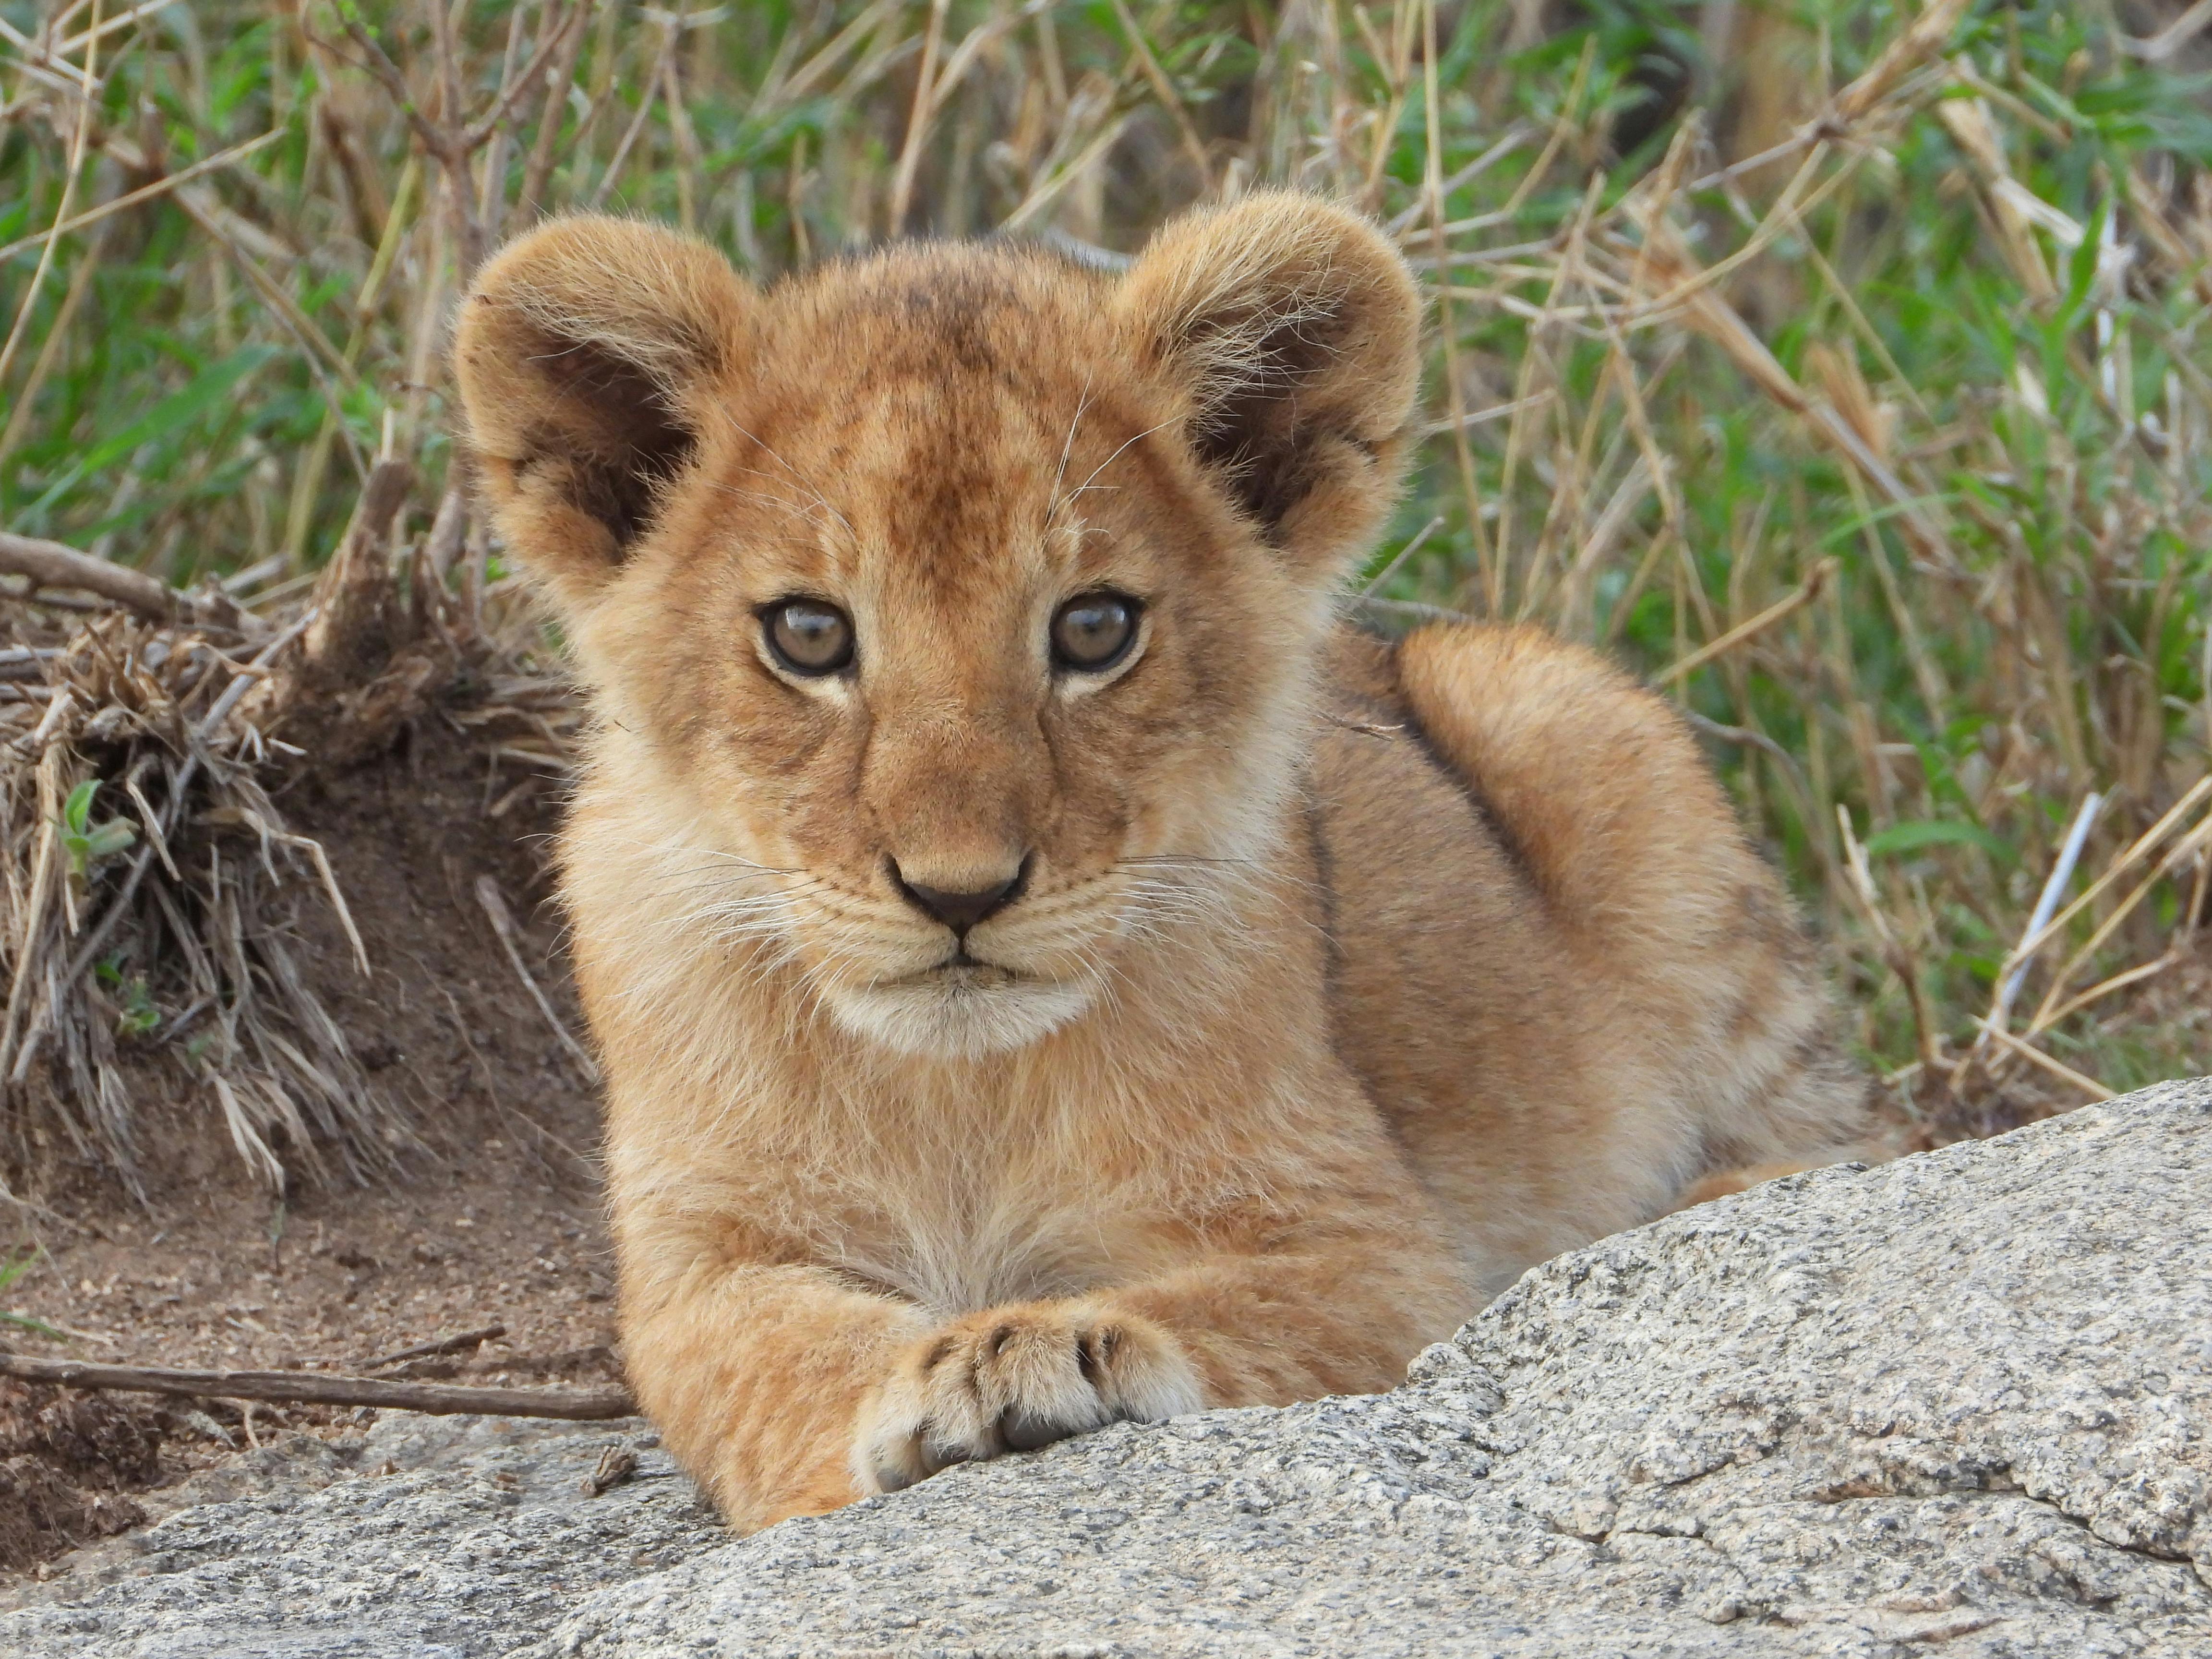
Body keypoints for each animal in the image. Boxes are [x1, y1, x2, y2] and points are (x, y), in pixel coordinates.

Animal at [451, 192, 1866, 1530]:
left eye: (1094, 628)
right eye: (807, 634)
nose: (960, 893)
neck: (954, 1099)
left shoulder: (1378, 1248)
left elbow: (1230, 1314)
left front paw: (1044, 1351)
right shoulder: (698, 1269)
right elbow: (781, 1363)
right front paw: (914, 1389)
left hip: (1572, 720)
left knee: (1835, 1136)